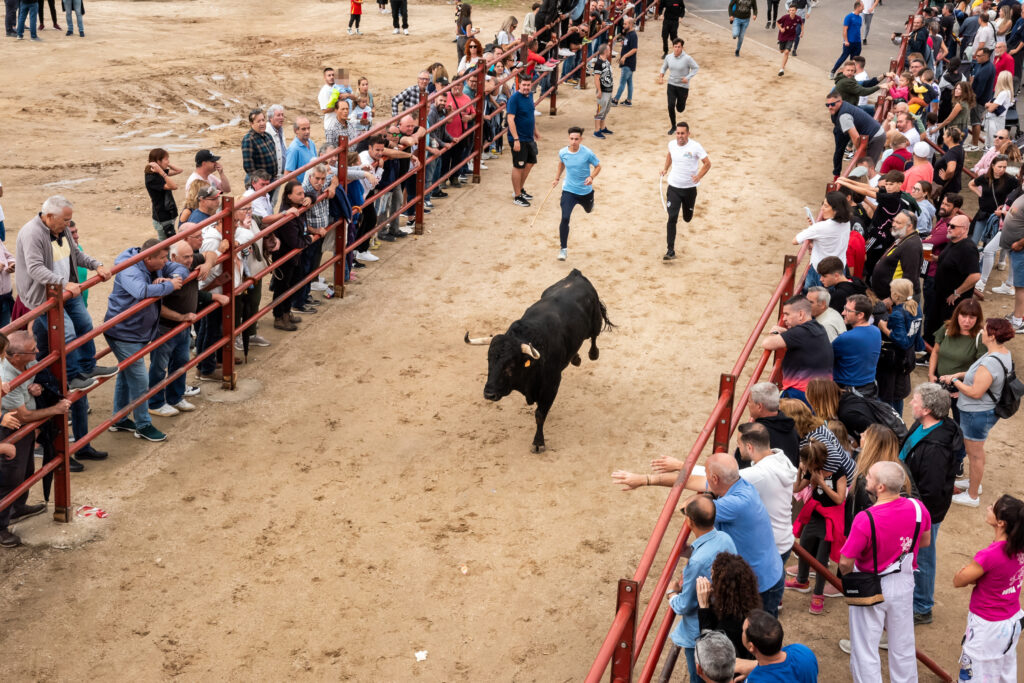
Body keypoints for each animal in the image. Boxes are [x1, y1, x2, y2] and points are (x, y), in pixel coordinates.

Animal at [466, 268, 614, 454]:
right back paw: (575, 358)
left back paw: (592, 354)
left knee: (593, 336)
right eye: (489, 360)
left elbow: (539, 414)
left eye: (510, 365)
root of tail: (576, 274)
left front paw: (538, 443)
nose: (489, 394)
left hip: (595, 322)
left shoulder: (552, 385)